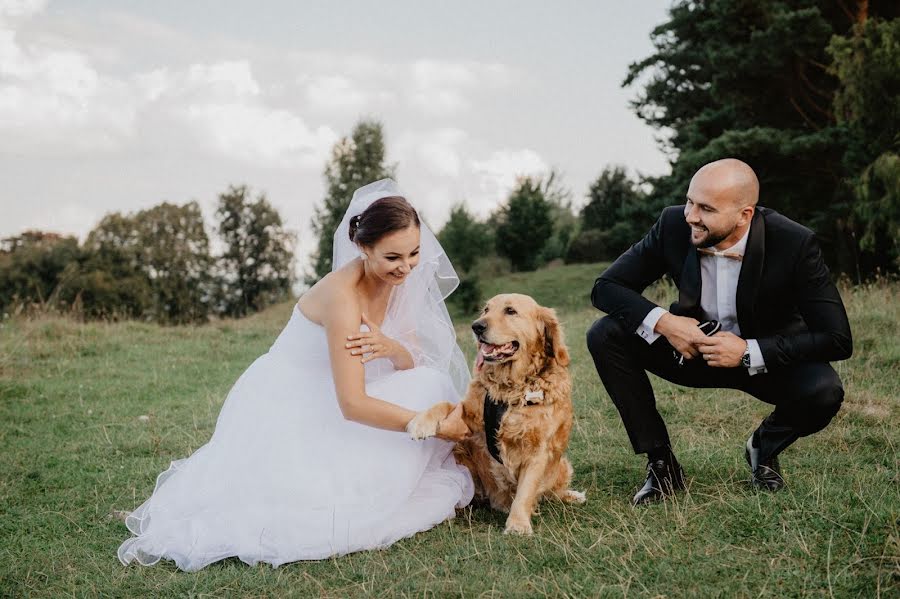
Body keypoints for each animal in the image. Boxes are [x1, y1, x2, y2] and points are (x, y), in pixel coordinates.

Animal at [406, 294, 584, 536]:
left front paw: (518, 524)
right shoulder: (470, 416)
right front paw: (421, 422)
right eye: (486, 310)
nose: (476, 326)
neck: (510, 388)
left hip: (562, 465)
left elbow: (526, 491)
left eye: (510, 311)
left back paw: (571, 496)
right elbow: (445, 404)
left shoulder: (538, 450)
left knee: (552, 492)